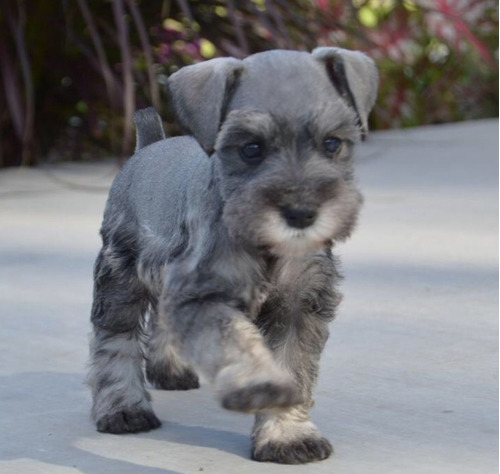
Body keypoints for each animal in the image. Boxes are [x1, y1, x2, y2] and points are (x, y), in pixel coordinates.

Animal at [87, 47, 376, 462]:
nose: (301, 213)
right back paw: (123, 408)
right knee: (114, 341)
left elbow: (294, 366)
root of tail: (149, 146)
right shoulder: (206, 295)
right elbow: (238, 343)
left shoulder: (299, 304)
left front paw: (287, 436)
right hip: (120, 274)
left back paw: (169, 372)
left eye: (332, 143)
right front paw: (261, 387)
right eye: (251, 148)